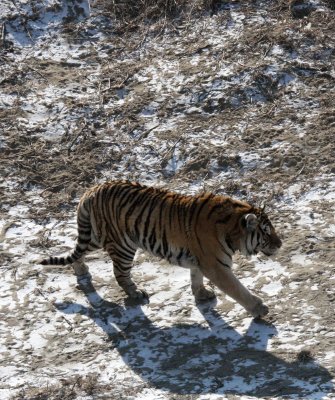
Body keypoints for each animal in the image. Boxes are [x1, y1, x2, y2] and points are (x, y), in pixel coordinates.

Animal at [41, 180, 284, 318]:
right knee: (119, 273)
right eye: (266, 232)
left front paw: (202, 294)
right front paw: (259, 309)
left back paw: (81, 270)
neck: (232, 229)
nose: (280, 243)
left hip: (96, 235)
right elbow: (238, 289)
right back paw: (136, 293)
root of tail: (91, 190)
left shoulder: (200, 260)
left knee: (79, 250)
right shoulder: (216, 266)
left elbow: (196, 277)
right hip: (122, 245)